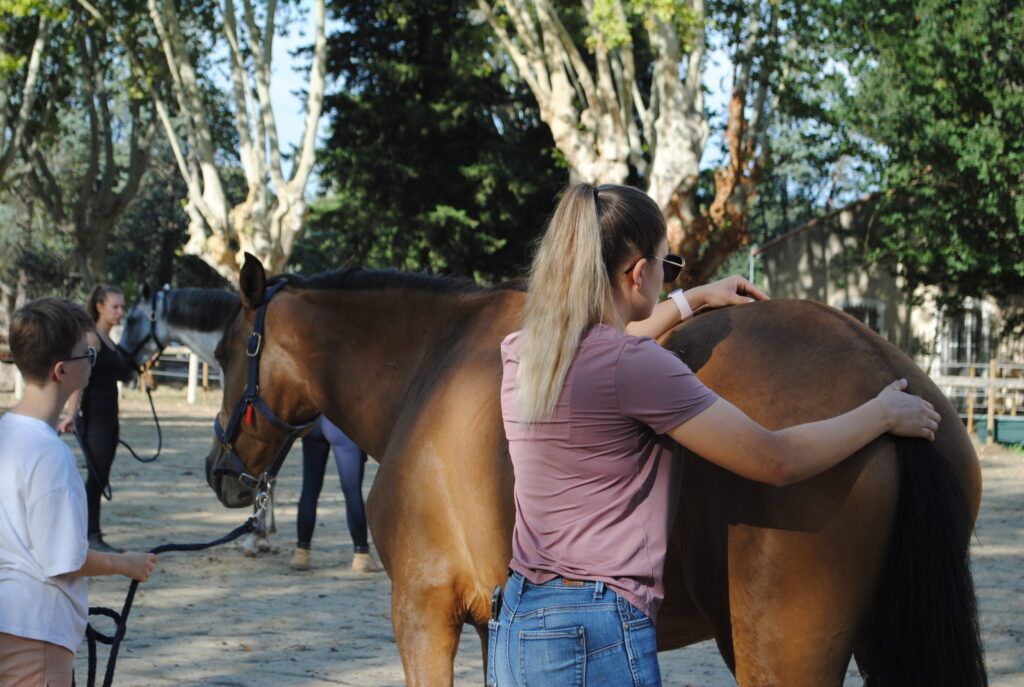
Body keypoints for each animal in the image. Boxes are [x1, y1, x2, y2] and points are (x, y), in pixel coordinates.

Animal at [205, 256, 983, 687]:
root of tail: (882, 372)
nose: (219, 471)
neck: (431, 365)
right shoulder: (499, 626)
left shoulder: (423, 611)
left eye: (224, 351)